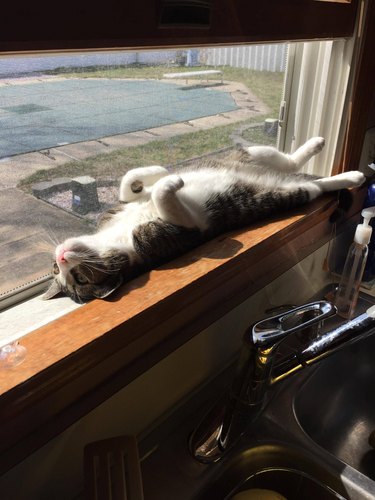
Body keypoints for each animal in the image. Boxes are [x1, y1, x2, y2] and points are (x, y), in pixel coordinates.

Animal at [43, 136, 364, 300]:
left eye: (70, 274)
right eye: (78, 279)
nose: (60, 258)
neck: (117, 235)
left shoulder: (118, 207)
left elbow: (129, 182)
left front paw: (157, 174)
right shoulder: (182, 230)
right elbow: (163, 196)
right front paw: (171, 182)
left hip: (253, 154)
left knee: (289, 160)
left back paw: (317, 144)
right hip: (288, 192)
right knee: (316, 184)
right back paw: (353, 176)